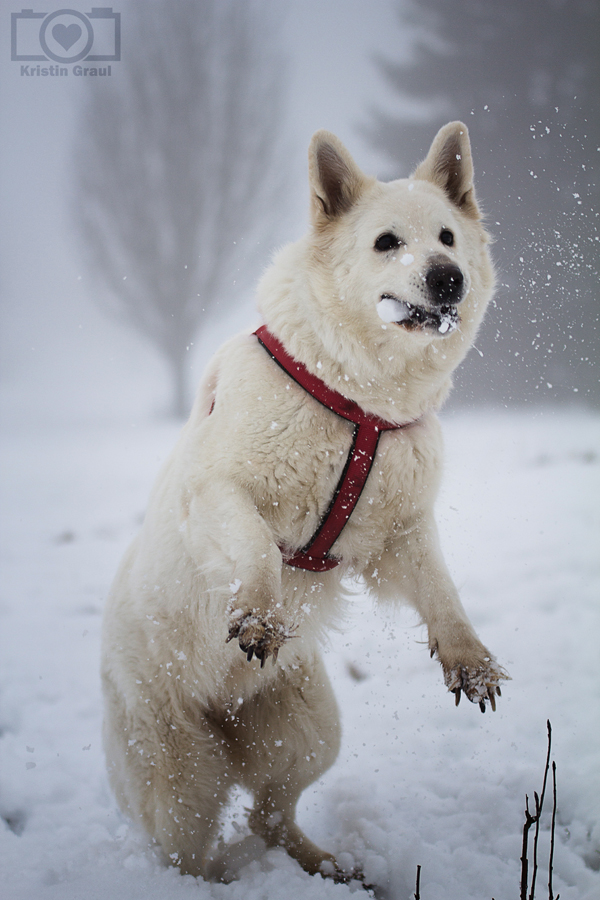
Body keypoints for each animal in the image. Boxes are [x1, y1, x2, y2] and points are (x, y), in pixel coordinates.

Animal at [102, 121, 506, 884]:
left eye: (447, 236)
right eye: (387, 242)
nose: (449, 278)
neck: (360, 402)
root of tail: (224, 713)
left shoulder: (400, 535)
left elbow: (442, 592)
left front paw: (469, 659)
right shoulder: (219, 492)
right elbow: (259, 546)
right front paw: (261, 615)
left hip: (309, 728)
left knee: (269, 813)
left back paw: (330, 866)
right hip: (182, 776)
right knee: (184, 854)